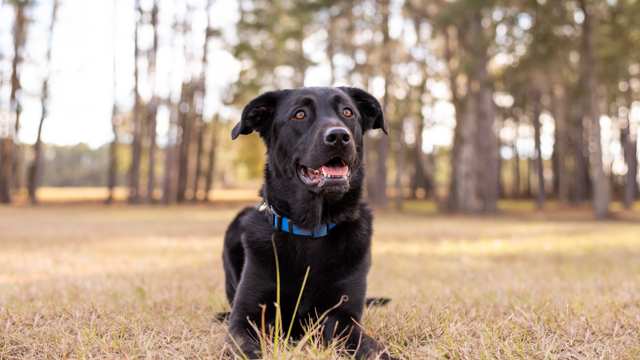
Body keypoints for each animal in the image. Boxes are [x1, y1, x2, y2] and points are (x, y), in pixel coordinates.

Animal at [224, 86, 396, 358]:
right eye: (300, 114)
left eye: (348, 112)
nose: (339, 136)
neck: (310, 230)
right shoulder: (245, 318)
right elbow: (246, 346)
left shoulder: (344, 318)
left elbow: (371, 348)